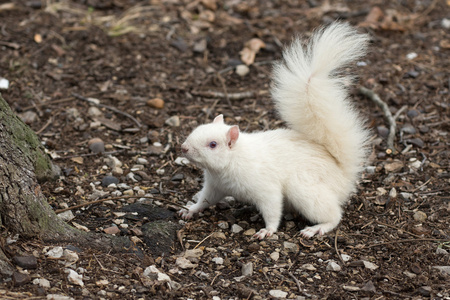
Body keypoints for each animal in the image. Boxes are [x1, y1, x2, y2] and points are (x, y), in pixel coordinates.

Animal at [178, 22, 370, 239]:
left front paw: (267, 230)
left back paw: (316, 228)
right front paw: (190, 210)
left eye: (213, 144)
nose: (184, 148)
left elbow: (272, 208)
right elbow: (205, 200)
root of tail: (342, 175)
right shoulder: (215, 186)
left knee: (334, 215)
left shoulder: (265, 186)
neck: (228, 165)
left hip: (304, 189)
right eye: (197, 129)